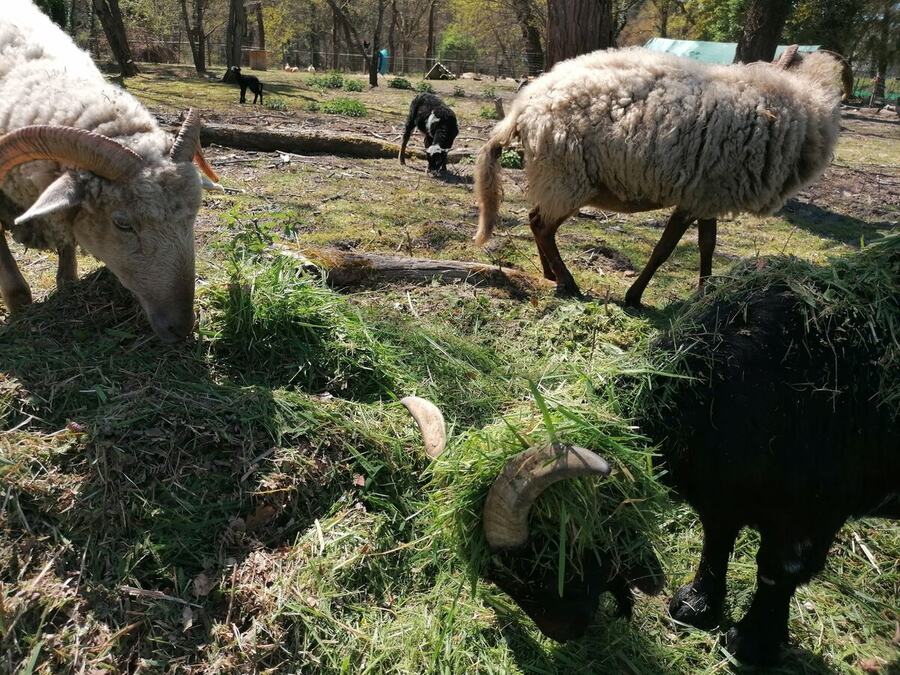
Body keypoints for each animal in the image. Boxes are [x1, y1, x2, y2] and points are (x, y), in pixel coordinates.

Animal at [0, 1, 220, 342]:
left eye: (195, 214)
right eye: (122, 224)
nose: (182, 328)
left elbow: (67, 255)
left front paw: (67, 286)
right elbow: (17, 290)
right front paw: (22, 311)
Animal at [403, 236, 900, 665]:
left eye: (539, 565)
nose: (566, 631)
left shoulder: (808, 516)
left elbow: (776, 571)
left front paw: (751, 643)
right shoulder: (722, 496)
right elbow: (717, 538)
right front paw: (696, 607)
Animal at [473, 46, 843, 306]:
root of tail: (523, 105)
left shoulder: (707, 196)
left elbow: (707, 245)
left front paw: (704, 291)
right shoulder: (696, 198)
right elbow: (664, 249)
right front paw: (634, 297)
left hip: (556, 179)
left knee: (536, 221)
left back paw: (551, 275)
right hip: (567, 177)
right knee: (541, 225)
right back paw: (568, 283)